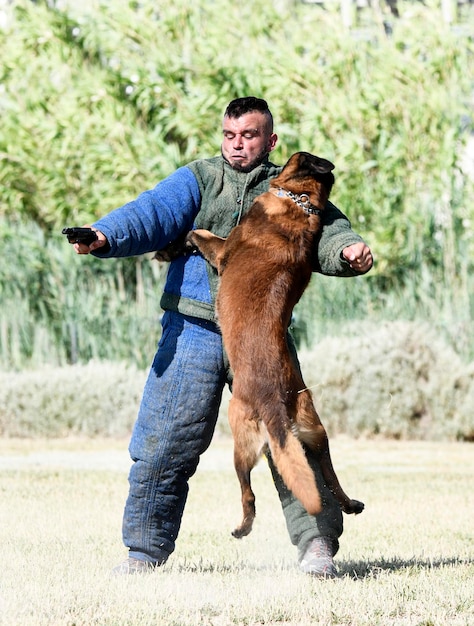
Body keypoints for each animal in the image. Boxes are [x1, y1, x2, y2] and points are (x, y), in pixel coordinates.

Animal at [183, 152, 364, 536]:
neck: (300, 203)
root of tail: (275, 404)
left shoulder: (222, 249)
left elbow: (201, 234)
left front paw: (189, 236)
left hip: (240, 439)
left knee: (248, 492)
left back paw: (242, 526)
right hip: (317, 433)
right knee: (327, 476)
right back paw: (349, 503)